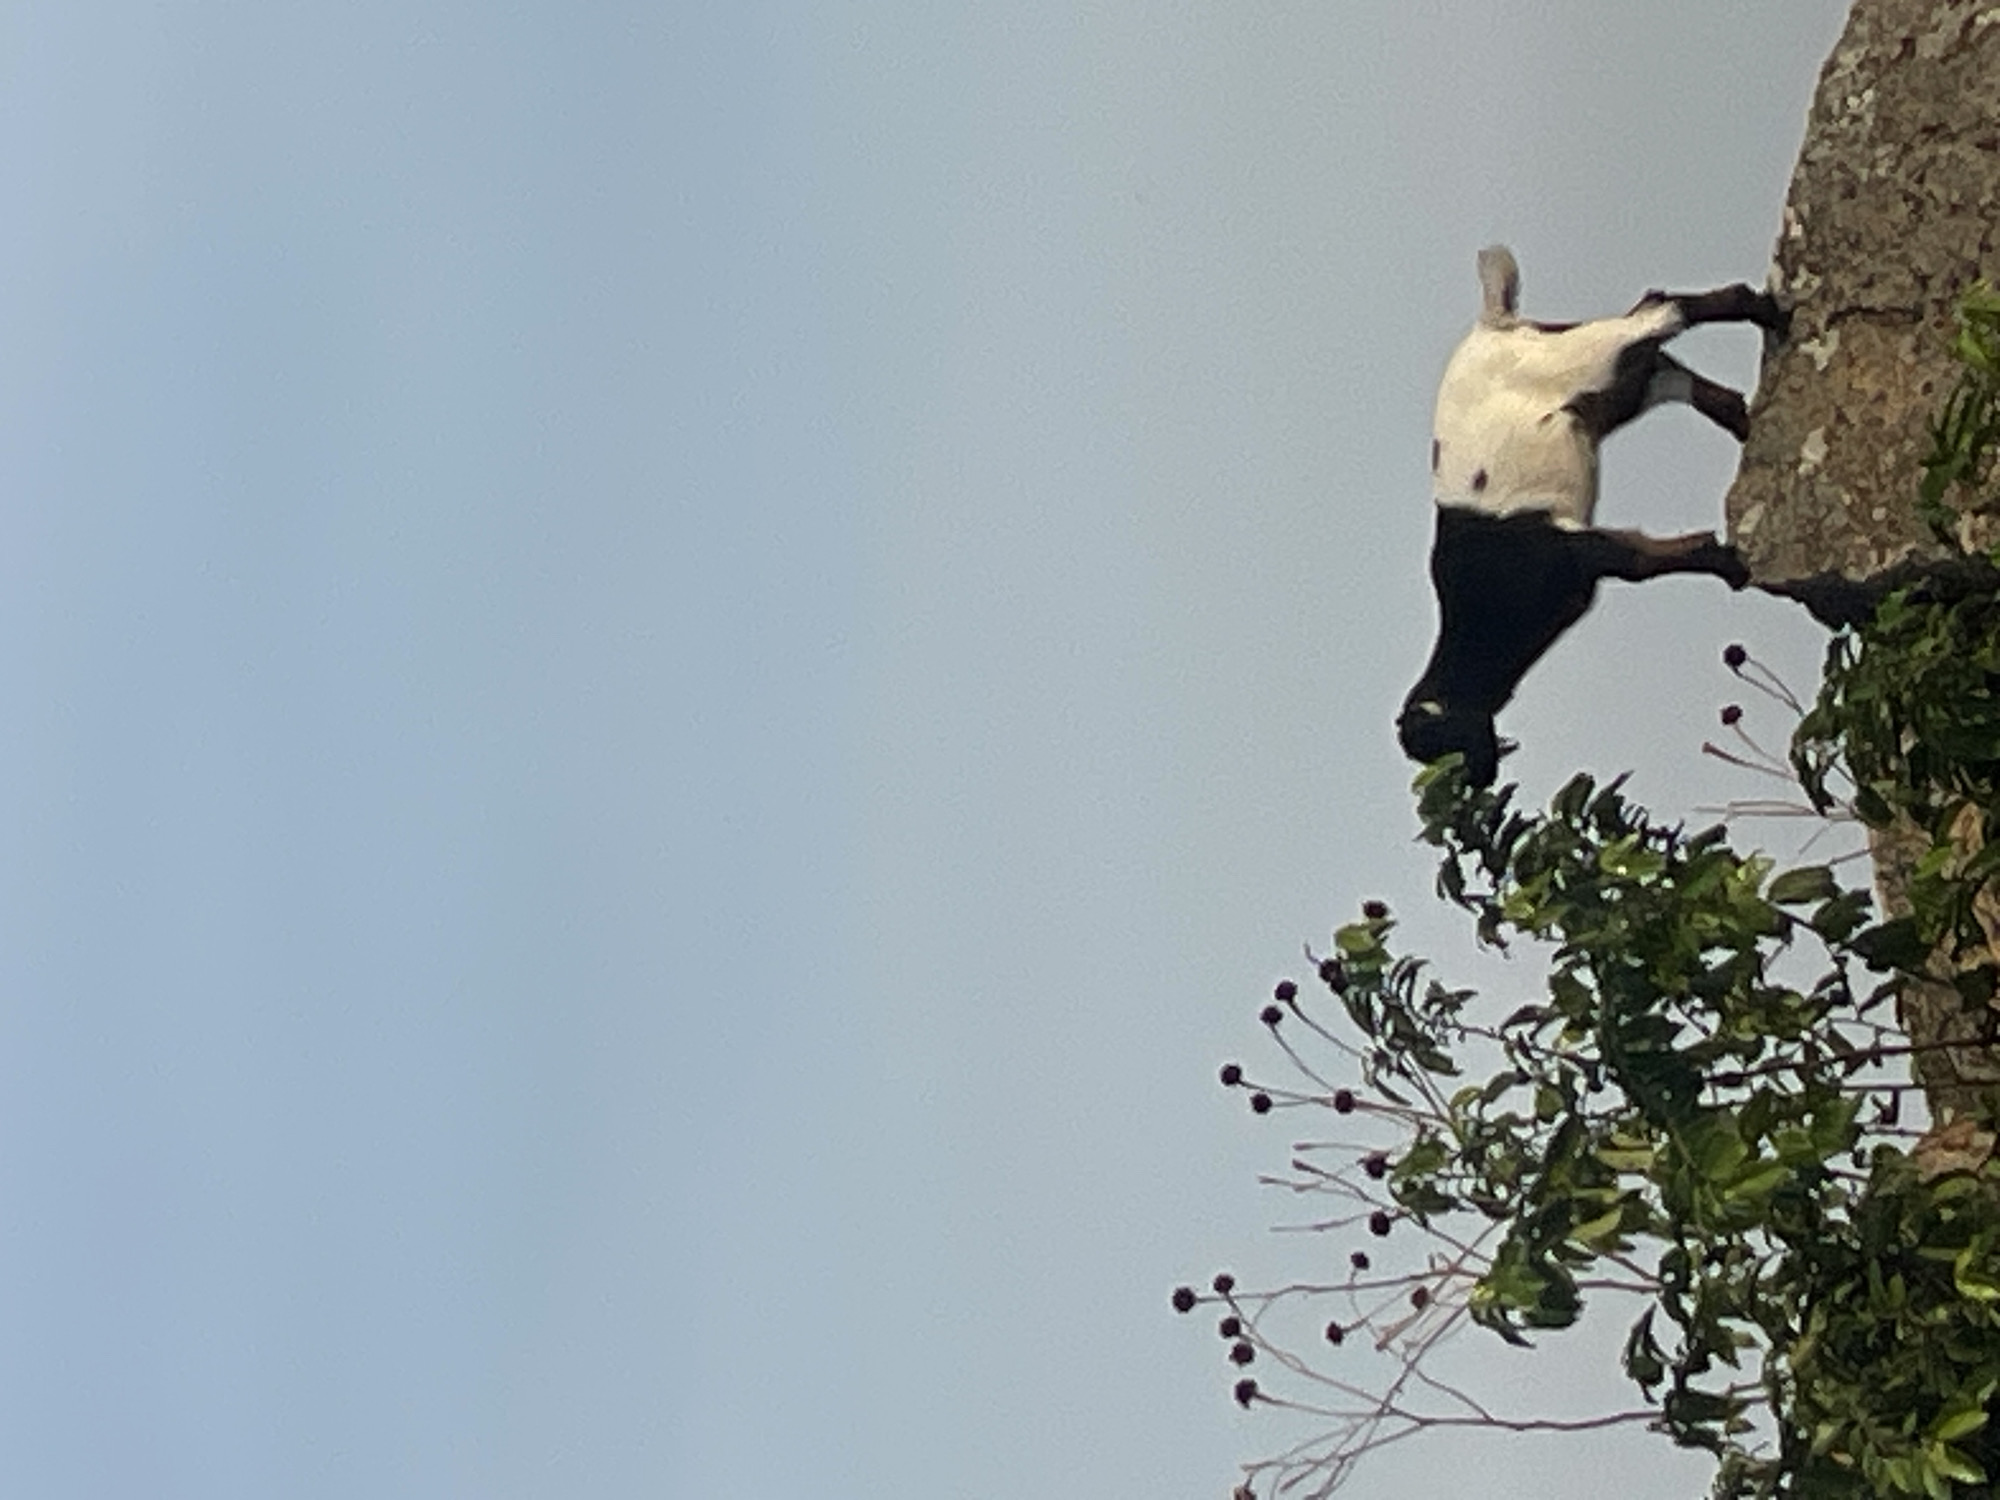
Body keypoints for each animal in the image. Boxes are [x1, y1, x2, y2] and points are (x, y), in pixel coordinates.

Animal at [1397, 247, 1786, 786]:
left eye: (1443, 741)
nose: (1481, 778)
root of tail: (1491, 326)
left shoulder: (1570, 551)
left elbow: (1640, 563)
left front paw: (1730, 564)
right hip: (1608, 387)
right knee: (1662, 367)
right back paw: (1745, 412)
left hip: (1583, 362)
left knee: (1657, 313)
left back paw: (1759, 310)